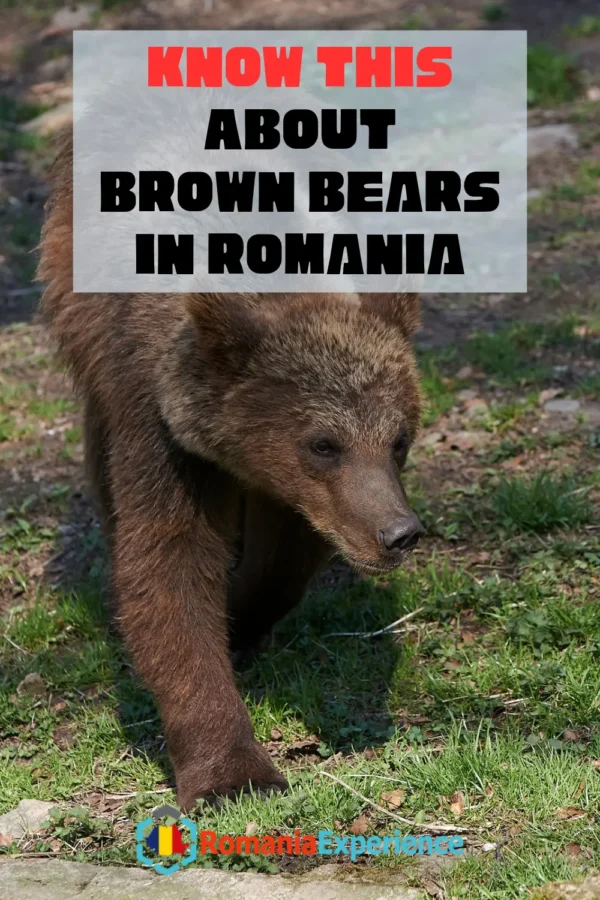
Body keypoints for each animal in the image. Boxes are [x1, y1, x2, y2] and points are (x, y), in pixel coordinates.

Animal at [38, 133, 424, 810]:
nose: (398, 533)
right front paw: (235, 774)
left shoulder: (301, 492)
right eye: (324, 443)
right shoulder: (160, 425)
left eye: (398, 438)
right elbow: (169, 566)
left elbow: (285, 555)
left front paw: (241, 617)